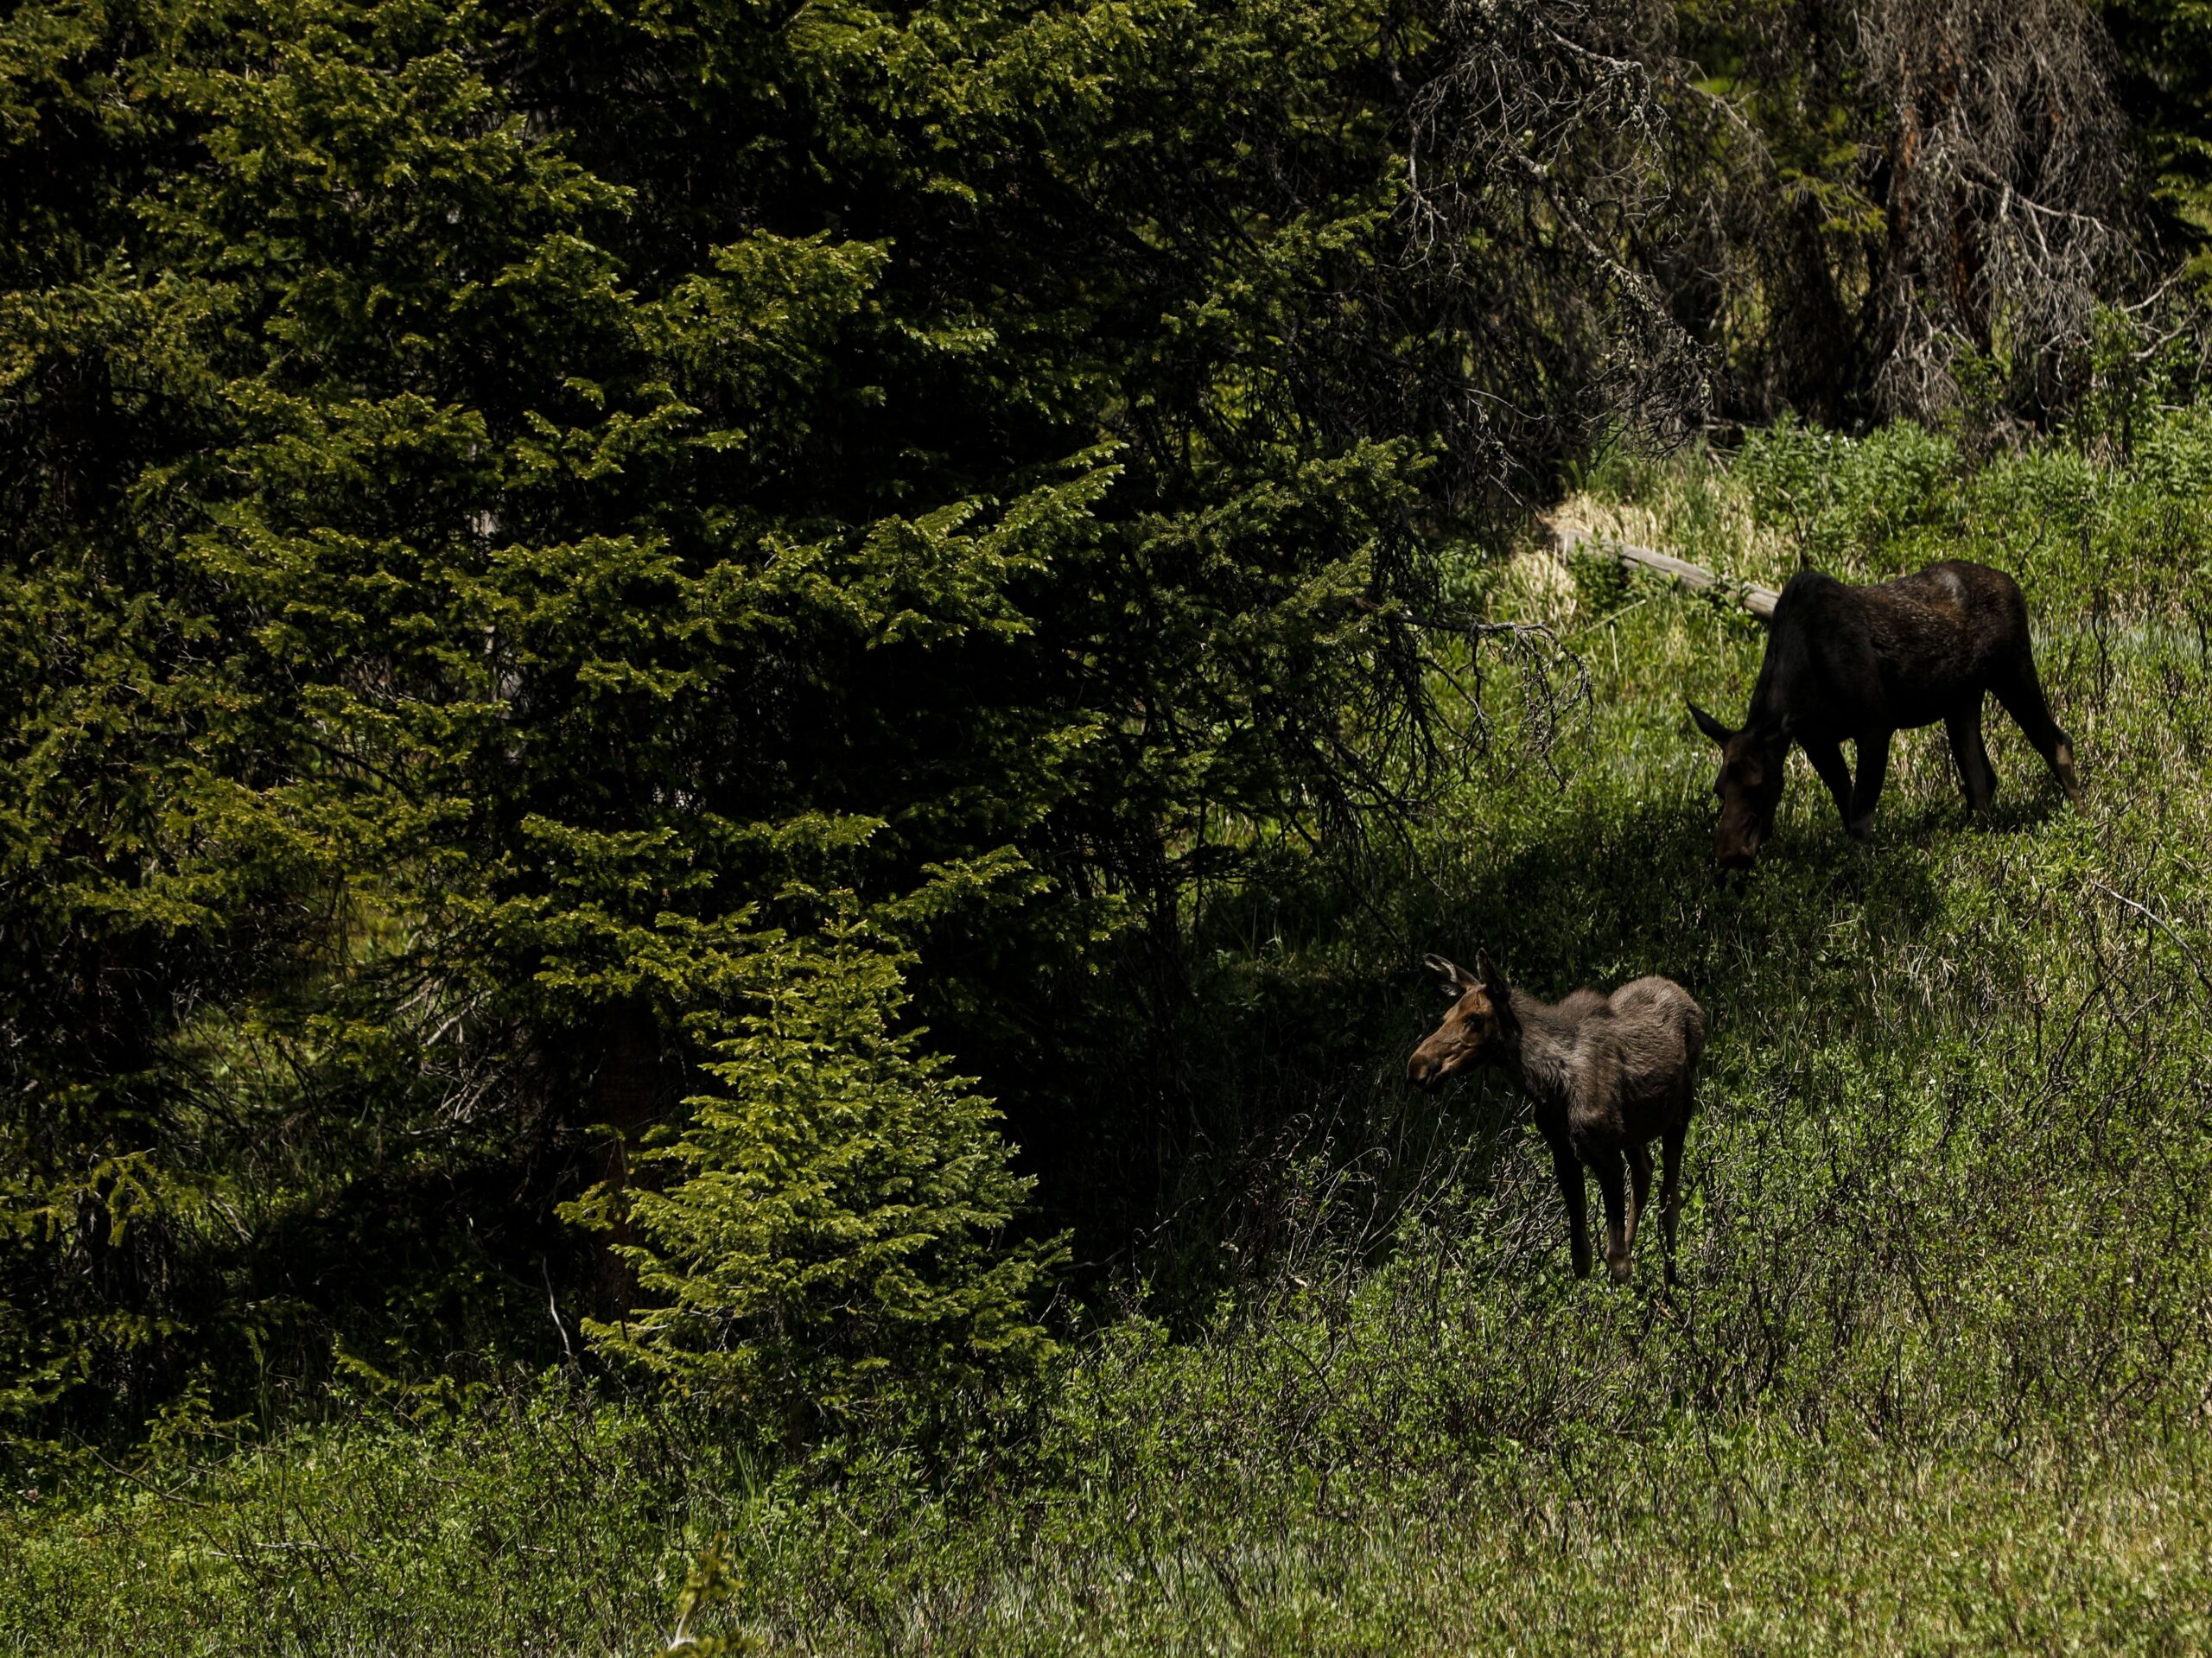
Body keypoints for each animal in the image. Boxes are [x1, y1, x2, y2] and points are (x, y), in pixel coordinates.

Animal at [1408, 952, 1705, 1285]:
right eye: (1446, 1016)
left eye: (1475, 1019)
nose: (1417, 1067)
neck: (1545, 1084)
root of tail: (1692, 1003)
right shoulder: (1563, 1151)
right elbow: (1582, 1259)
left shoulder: (1605, 1153)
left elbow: (1616, 1261)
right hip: (1634, 1133)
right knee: (1644, 1174)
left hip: (1680, 1113)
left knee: (1670, 1198)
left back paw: (1671, 1283)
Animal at [1688, 559, 2081, 870]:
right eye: (1719, 790)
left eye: (1759, 784)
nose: (1729, 855)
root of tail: (2013, 584)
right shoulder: (1817, 740)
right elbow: (1846, 809)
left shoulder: (1875, 725)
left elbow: (1861, 819)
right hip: (1962, 700)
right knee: (1981, 778)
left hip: (2012, 668)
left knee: (2058, 742)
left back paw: (2080, 820)